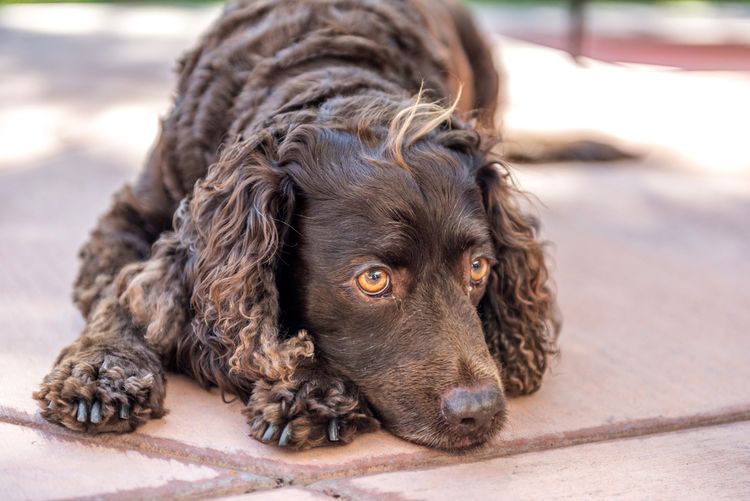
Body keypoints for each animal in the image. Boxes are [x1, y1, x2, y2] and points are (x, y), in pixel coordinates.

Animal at [36, 0, 564, 452]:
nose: (481, 411)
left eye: (478, 268)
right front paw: (103, 372)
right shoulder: (128, 220)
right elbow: (123, 296)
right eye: (373, 279)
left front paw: (311, 389)